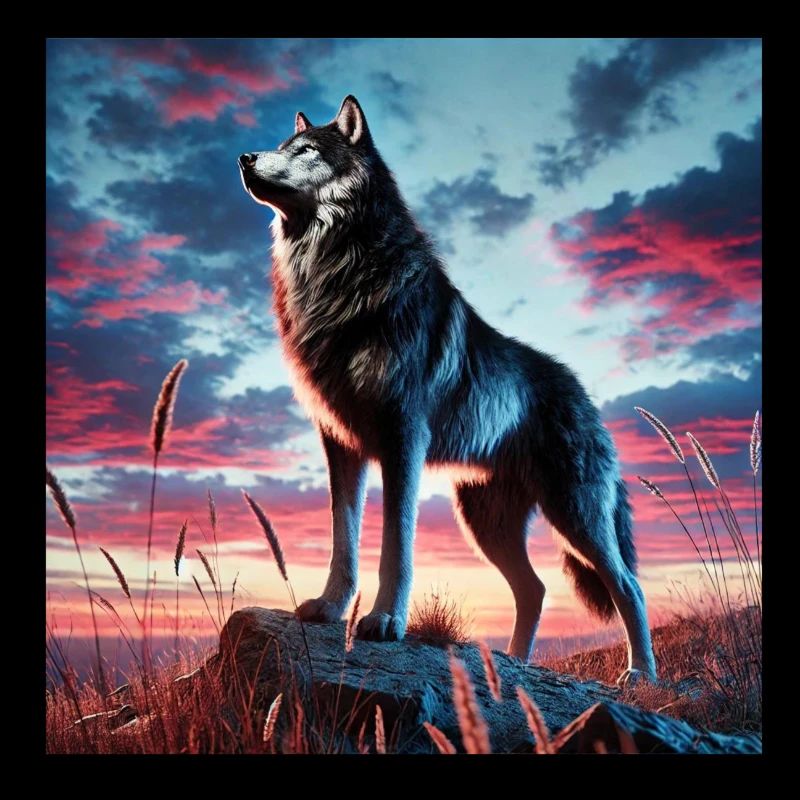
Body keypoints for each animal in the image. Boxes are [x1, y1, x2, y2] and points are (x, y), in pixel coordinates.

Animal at [239, 95, 657, 684]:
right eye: (282, 146)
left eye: (307, 151)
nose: (245, 157)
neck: (336, 274)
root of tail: (585, 396)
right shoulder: (339, 443)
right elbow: (344, 537)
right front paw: (330, 607)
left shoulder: (402, 439)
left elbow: (397, 542)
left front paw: (385, 621)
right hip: (487, 525)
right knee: (535, 588)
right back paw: (514, 663)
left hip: (574, 515)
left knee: (629, 585)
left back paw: (641, 675)